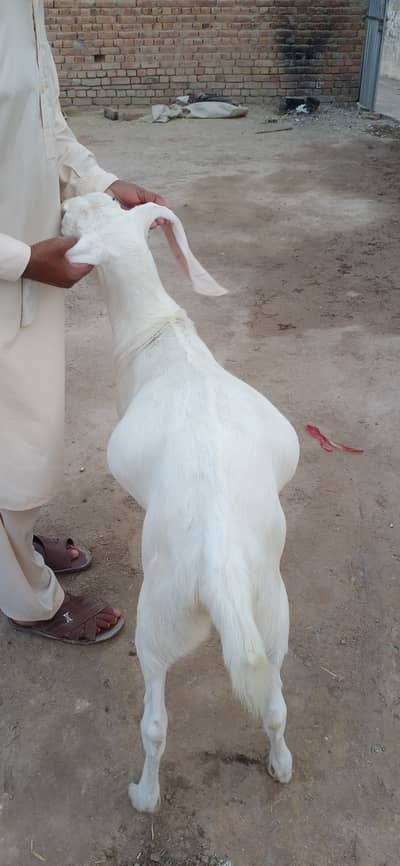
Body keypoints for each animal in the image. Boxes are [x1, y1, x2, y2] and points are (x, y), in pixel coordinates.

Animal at [62, 193, 300, 813]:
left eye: (85, 216)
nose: (66, 201)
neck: (161, 339)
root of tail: (220, 572)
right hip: (272, 614)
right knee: (275, 703)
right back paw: (281, 765)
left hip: (157, 619)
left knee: (155, 723)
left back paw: (143, 794)